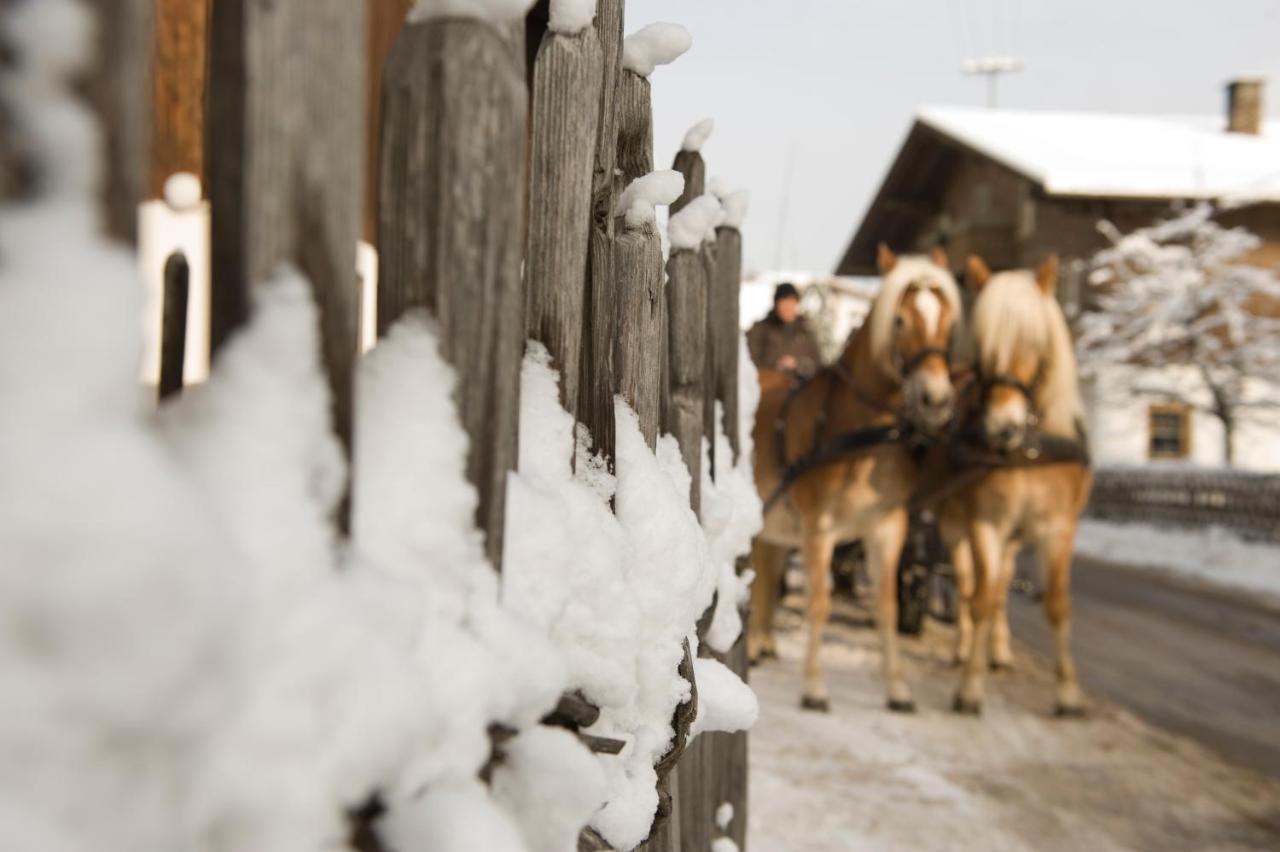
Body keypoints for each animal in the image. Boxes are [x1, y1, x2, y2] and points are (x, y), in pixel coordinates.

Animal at [747, 244, 962, 711]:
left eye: (947, 321)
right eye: (899, 320)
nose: (935, 400)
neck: (861, 437)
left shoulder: (887, 527)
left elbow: (886, 607)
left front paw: (898, 689)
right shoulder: (817, 530)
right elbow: (819, 603)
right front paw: (814, 687)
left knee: (768, 571)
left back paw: (763, 642)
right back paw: (754, 645)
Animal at [936, 253, 1095, 716]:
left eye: (1035, 341)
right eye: (984, 343)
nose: (1002, 428)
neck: (1029, 447)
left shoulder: (1058, 528)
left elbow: (1056, 605)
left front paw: (1067, 694)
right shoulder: (985, 525)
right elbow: (979, 599)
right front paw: (970, 689)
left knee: (1002, 583)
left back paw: (999, 651)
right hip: (954, 524)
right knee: (969, 584)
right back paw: (964, 647)